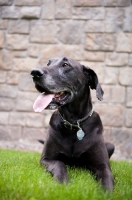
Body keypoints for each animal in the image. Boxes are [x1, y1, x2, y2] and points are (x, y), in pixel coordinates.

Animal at [31, 57, 114, 191]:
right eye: (48, 63)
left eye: (65, 65)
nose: (34, 72)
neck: (74, 123)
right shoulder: (46, 159)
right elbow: (59, 163)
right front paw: (62, 183)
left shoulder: (103, 165)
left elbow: (107, 181)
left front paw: (106, 193)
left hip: (111, 145)